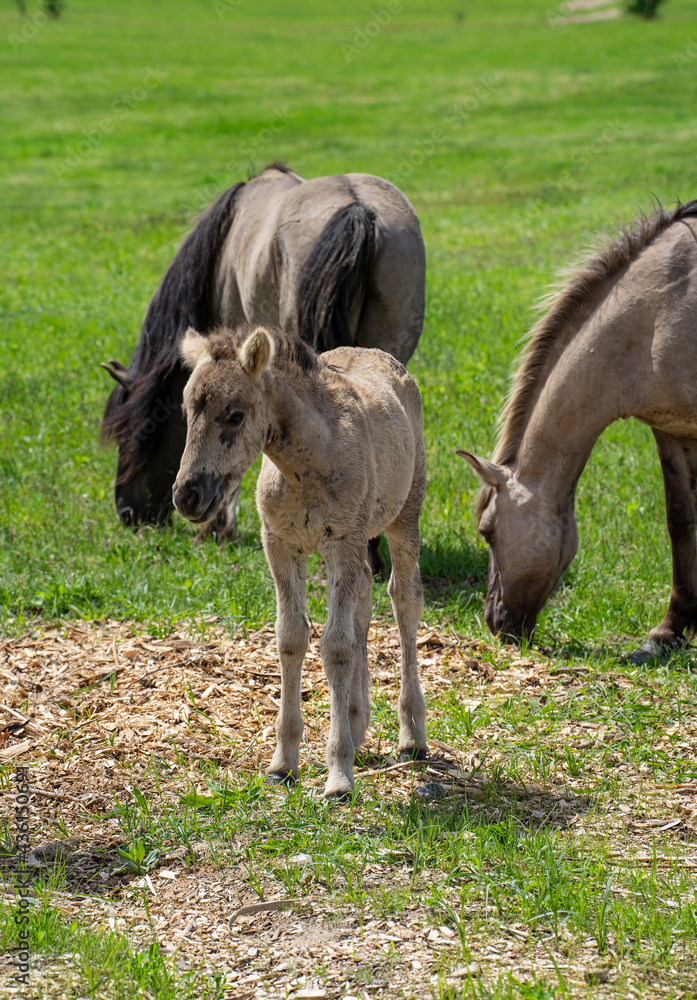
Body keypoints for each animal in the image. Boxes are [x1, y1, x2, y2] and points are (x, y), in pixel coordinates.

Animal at [173, 323, 428, 799]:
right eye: (186, 411)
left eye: (234, 415)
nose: (187, 496)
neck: (305, 464)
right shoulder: (280, 543)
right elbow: (291, 637)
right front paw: (283, 763)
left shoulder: (342, 543)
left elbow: (336, 646)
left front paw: (339, 775)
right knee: (364, 604)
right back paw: (357, 723)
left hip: (405, 512)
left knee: (404, 600)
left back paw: (411, 736)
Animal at [460, 200, 697, 664]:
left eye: (487, 532)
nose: (494, 623)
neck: (661, 309)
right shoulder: (672, 430)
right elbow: (681, 520)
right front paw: (667, 633)